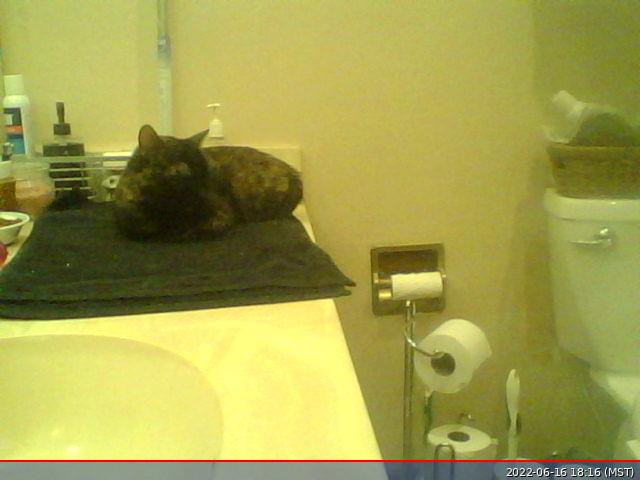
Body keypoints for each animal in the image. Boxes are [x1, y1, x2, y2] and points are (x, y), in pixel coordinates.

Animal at [113, 125, 302, 240]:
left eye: (207, 170)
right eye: (180, 172)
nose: (205, 190)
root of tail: (294, 173)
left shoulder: (221, 217)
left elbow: (186, 232)